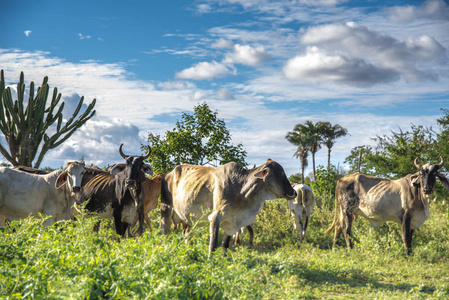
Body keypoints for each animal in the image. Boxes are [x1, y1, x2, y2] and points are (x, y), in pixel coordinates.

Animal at [159, 158, 296, 256]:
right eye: (280, 173)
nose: (293, 192)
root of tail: (168, 173)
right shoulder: (215, 217)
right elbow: (213, 244)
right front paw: (211, 262)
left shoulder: (231, 222)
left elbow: (225, 245)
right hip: (166, 208)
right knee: (164, 230)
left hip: (188, 217)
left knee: (187, 234)